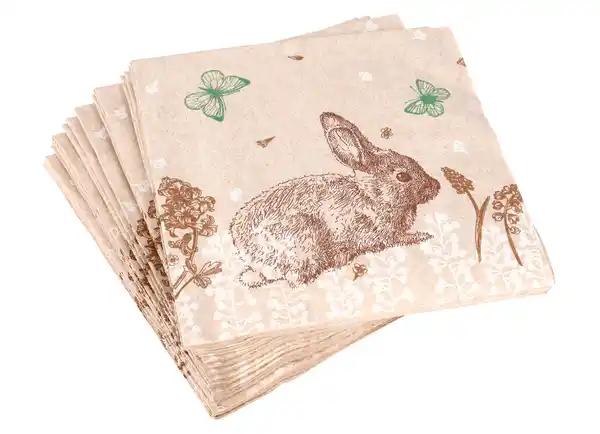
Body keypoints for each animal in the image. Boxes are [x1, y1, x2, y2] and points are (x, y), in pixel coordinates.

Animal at [229, 112, 440, 288]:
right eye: (403, 176)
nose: (436, 186)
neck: (372, 195)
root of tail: (250, 258)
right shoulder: (379, 232)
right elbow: (397, 239)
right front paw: (423, 235)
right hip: (302, 240)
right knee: (295, 279)